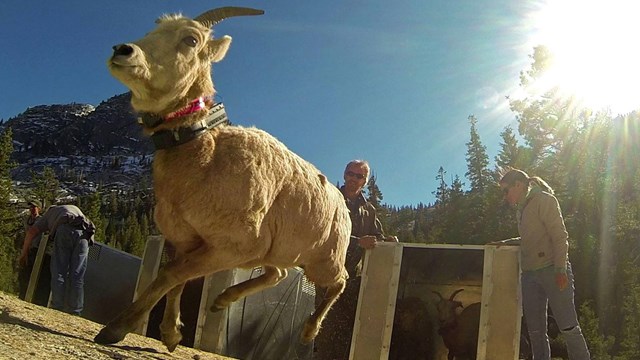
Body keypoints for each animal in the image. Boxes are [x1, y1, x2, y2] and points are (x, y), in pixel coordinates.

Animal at [94, 6, 350, 352]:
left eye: (191, 39)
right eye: (153, 29)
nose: (122, 51)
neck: (205, 160)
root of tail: (342, 203)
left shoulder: (230, 247)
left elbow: (170, 276)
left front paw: (116, 329)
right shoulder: (188, 241)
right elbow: (177, 280)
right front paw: (171, 335)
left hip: (323, 261)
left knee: (339, 282)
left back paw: (309, 332)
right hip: (270, 253)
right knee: (279, 274)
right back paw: (221, 301)